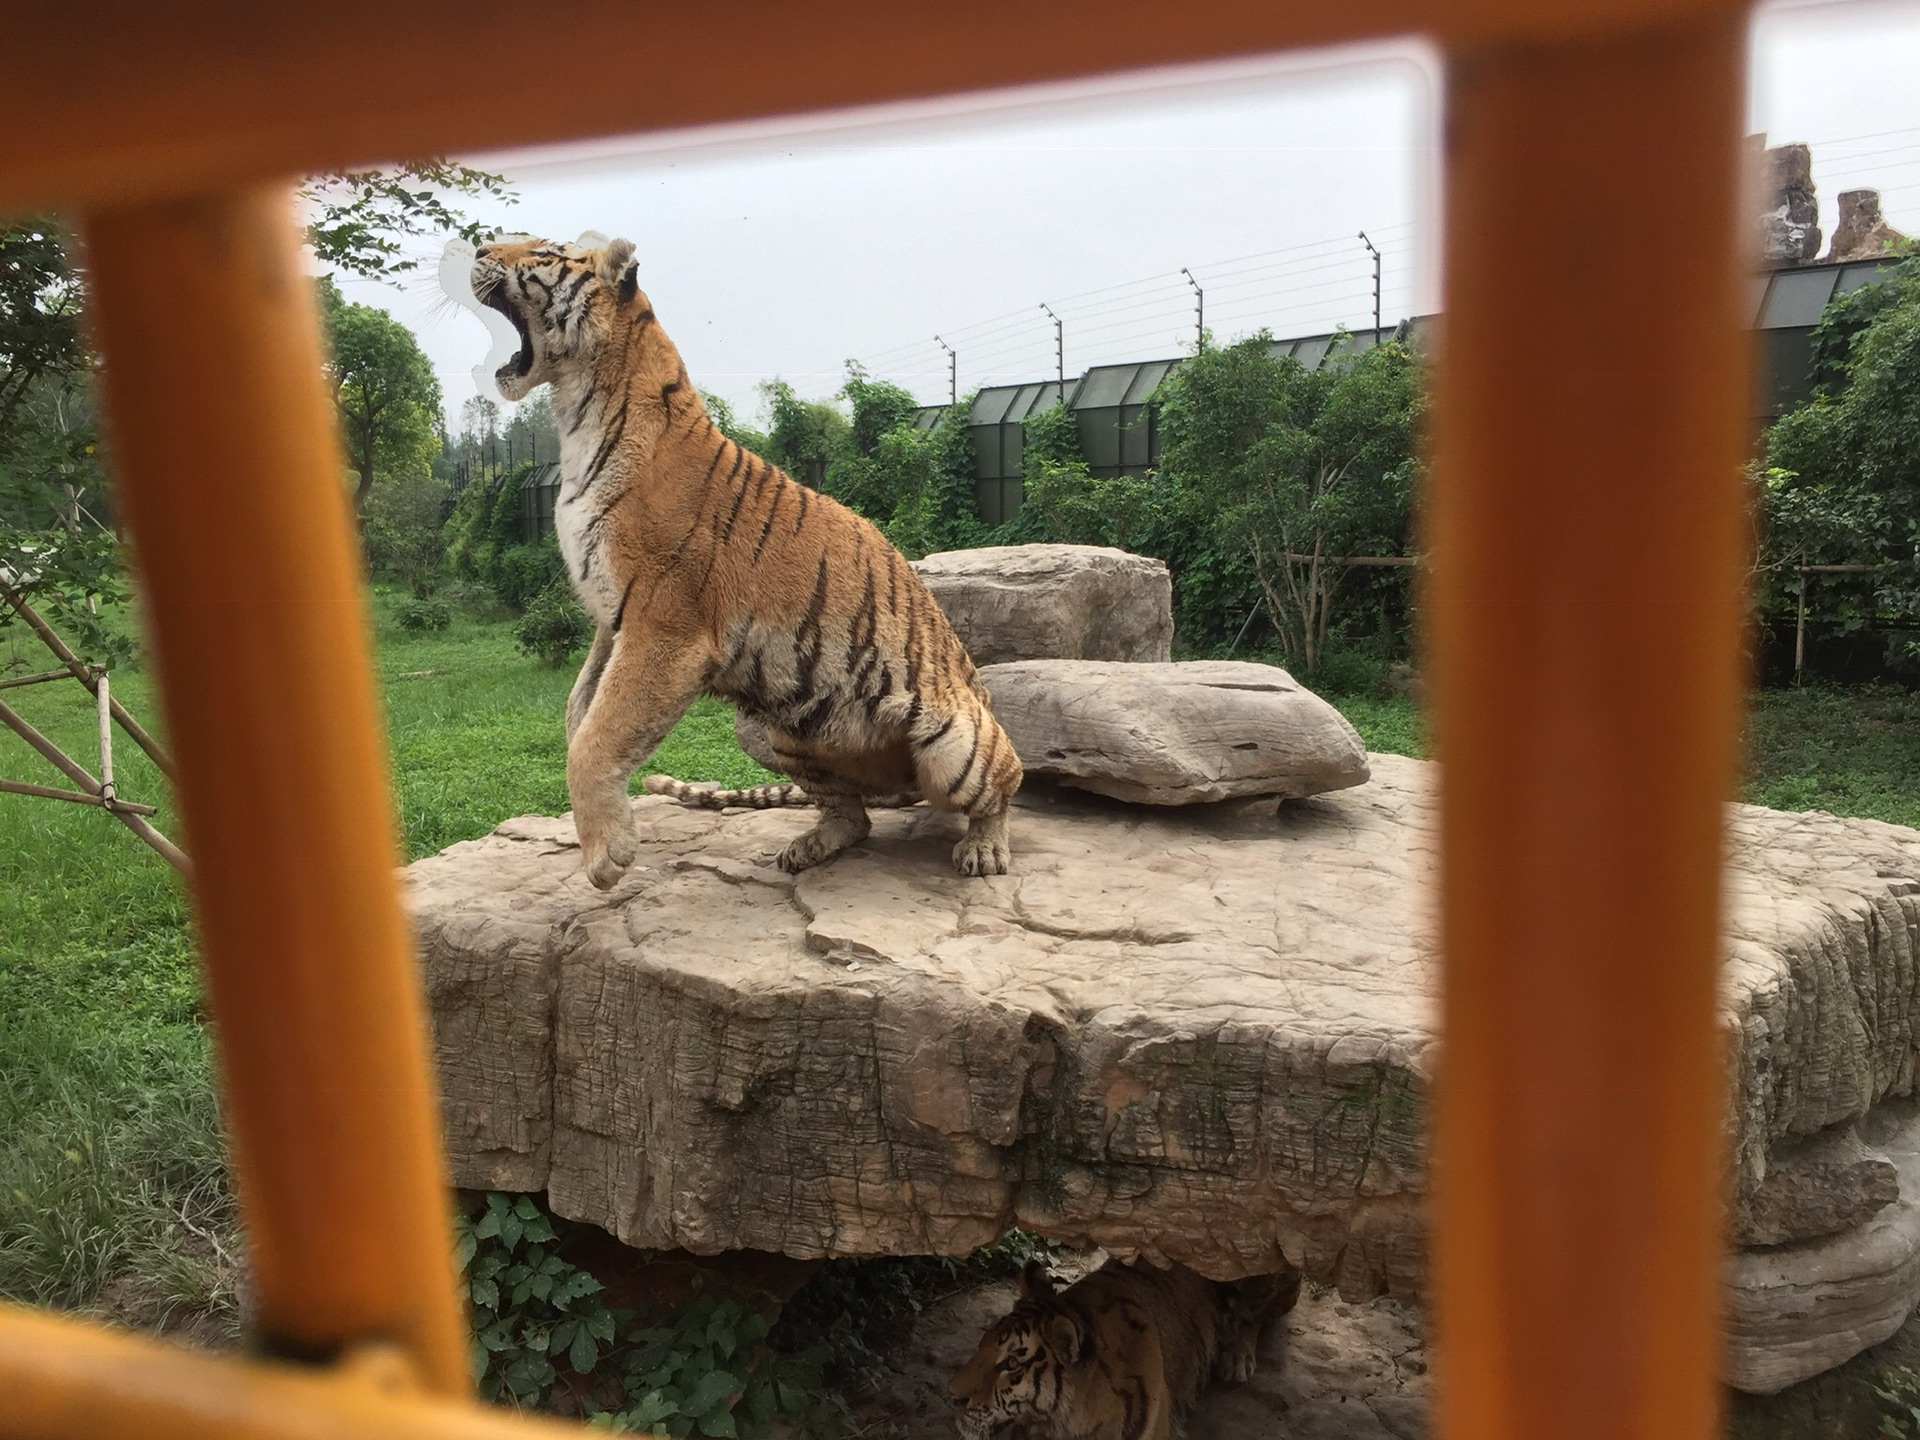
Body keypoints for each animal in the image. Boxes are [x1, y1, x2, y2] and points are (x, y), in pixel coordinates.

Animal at [468, 234, 1021, 890]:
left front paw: (608, 856)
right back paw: (812, 845)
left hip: (955, 740)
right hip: (776, 729)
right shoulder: (610, 618)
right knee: (852, 814)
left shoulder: (662, 626)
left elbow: (598, 734)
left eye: (545, 252)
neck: (577, 415)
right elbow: (579, 707)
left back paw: (984, 849)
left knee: (1006, 784)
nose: (476, 247)